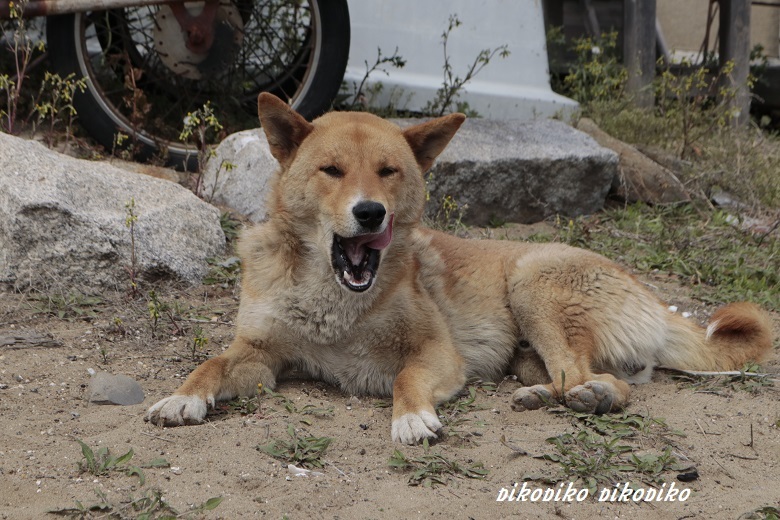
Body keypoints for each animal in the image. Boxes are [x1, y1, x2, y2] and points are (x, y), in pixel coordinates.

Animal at [146, 93, 772, 442]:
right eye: (331, 170)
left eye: (388, 171)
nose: (370, 213)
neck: (334, 299)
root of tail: (658, 303)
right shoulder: (261, 355)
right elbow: (210, 364)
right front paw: (182, 397)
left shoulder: (436, 352)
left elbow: (405, 379)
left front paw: (410, 419)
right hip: (529, 347)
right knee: (588, 377)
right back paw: (548, 396)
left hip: (532, 281)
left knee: (600, 381)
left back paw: (582, 398)